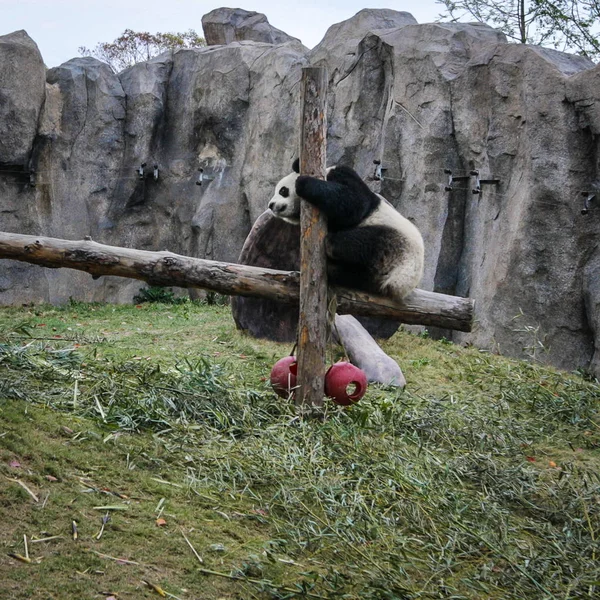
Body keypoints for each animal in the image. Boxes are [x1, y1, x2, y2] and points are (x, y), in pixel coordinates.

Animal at [270, 159, 424, 302]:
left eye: (282, 191)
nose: (271, 205)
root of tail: (401, 285)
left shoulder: (343, 174)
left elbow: (354, 202)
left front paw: (302, 182)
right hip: (373, 274)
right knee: (356, 275)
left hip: (395, 244)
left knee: (362, 242)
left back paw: (332, 247)